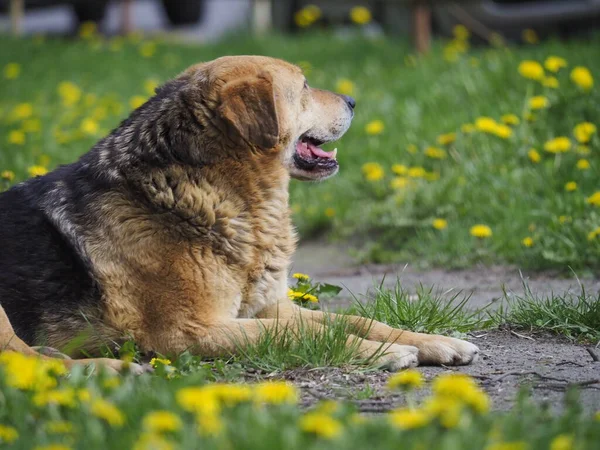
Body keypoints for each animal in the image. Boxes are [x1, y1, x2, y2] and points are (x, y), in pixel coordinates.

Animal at [0, 56, 478, 372]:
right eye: (304, 86)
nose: (353, 99)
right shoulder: (190, 331)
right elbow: (311, 334)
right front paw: (382, 353)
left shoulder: (269, 308)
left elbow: (358, 320)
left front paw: (433, 341)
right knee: (23, 363)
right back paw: (108, 370)